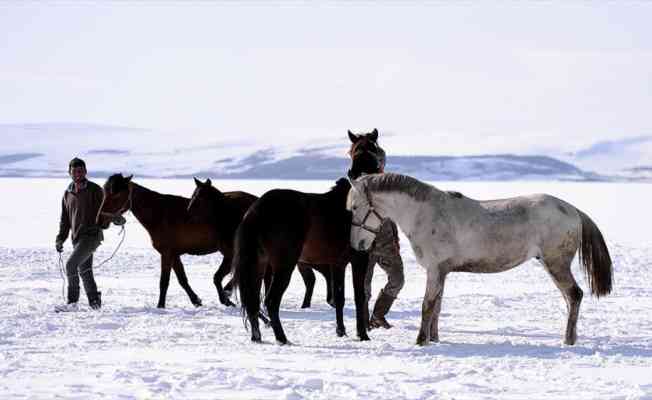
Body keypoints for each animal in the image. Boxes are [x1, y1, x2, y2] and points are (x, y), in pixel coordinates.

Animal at [348, 173, 612, 346]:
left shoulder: (434, 270)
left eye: (354, 207)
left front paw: (421, 341)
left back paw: (568, 340)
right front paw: (435, 339)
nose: (356, 245)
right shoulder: (442, 272)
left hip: (556, 264)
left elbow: (427, 305)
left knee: (574, 296)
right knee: (569, 299)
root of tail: (572, 210)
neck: (425, 214)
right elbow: (437, 307)